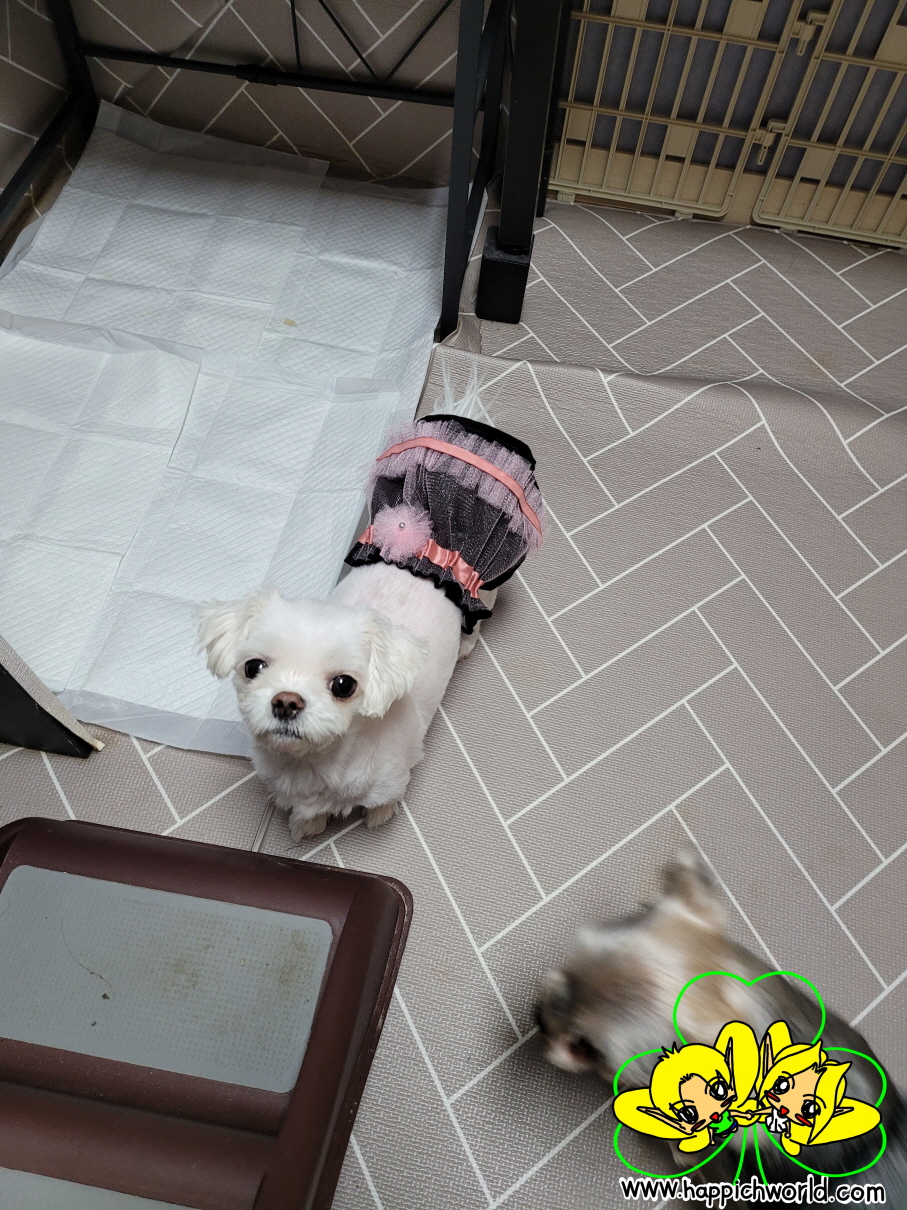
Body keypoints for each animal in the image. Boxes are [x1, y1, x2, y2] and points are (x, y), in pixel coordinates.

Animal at [198, 409, 543, 842]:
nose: (286, 701)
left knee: (479, 612)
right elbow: (307, 813)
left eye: (344, 685)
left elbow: (383, 802)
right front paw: (306, 824)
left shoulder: (391, 778)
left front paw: (378, 816)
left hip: (486, 579)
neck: (315, 765)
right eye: (253, 667)